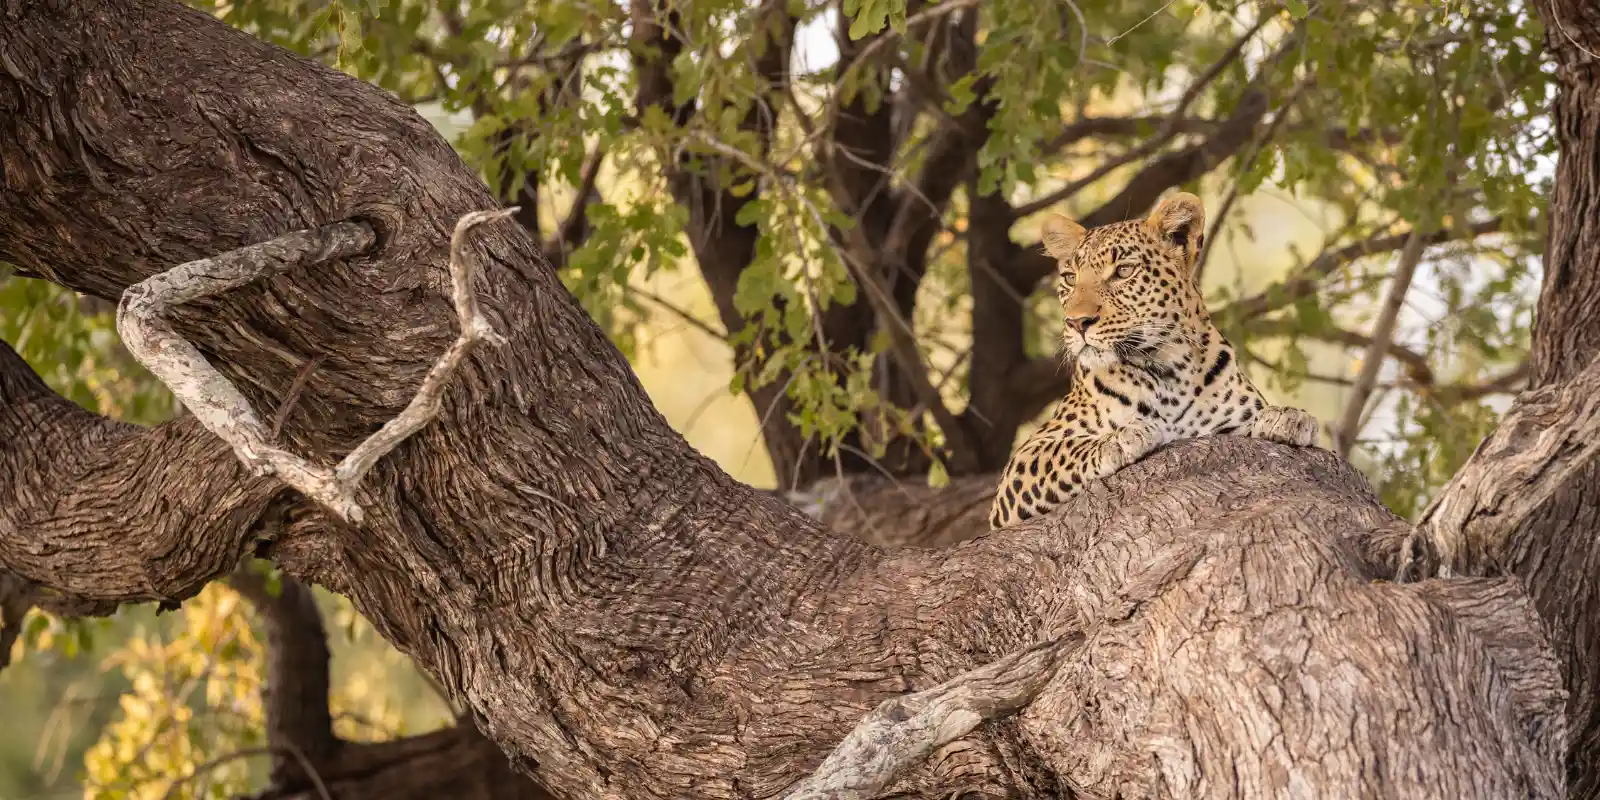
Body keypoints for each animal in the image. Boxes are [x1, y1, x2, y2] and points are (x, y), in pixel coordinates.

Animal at [988, 192, 1323, 530]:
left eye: (1123, 271)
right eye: (1070, 279)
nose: (1076, 322)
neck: (1169, 367)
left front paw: (1285, 417)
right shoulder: (1021, 465)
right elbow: (1064, 450)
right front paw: (1120, 439)